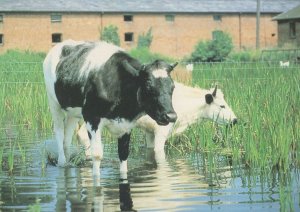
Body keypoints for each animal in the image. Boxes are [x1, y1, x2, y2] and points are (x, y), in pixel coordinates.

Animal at [43, 39, 177, 177]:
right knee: (59, 132)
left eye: (173, 86)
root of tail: (63, 43)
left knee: (67, 137)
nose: (171, 116)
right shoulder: (92, 118)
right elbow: (97, 155)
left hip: (73, 111)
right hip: (53, 103)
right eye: (149, 86)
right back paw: (62, 162)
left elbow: (123, 155)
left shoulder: (126, 124)